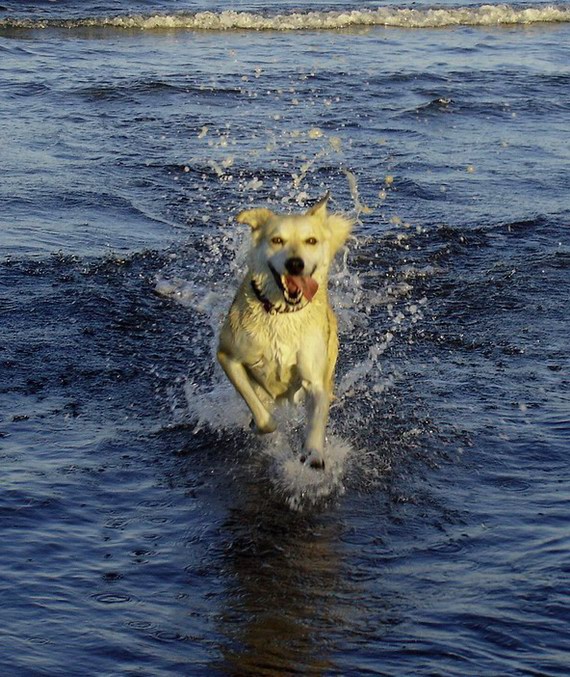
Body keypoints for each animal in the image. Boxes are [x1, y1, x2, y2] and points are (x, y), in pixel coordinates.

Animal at [216, 193, 350, 468]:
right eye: (277, 240)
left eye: (311, 240)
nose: (295, 264)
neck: (282, 313)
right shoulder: (227, 356)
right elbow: (263, 416)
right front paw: (258, 423)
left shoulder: (315, 379)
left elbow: (317, 415)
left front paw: (314, 452)